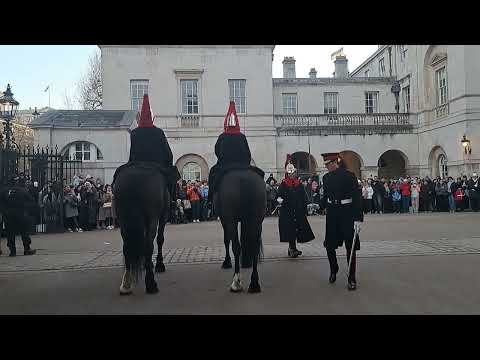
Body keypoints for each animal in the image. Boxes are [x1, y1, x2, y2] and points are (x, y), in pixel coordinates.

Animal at [113, 164, 170, 296]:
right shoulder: (163, 216)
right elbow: (160, 239)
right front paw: (159, 265)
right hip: (152, 219)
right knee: (148, 246)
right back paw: (151, 284)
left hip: (123, 221)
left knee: (127, 247)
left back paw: (126, 284)